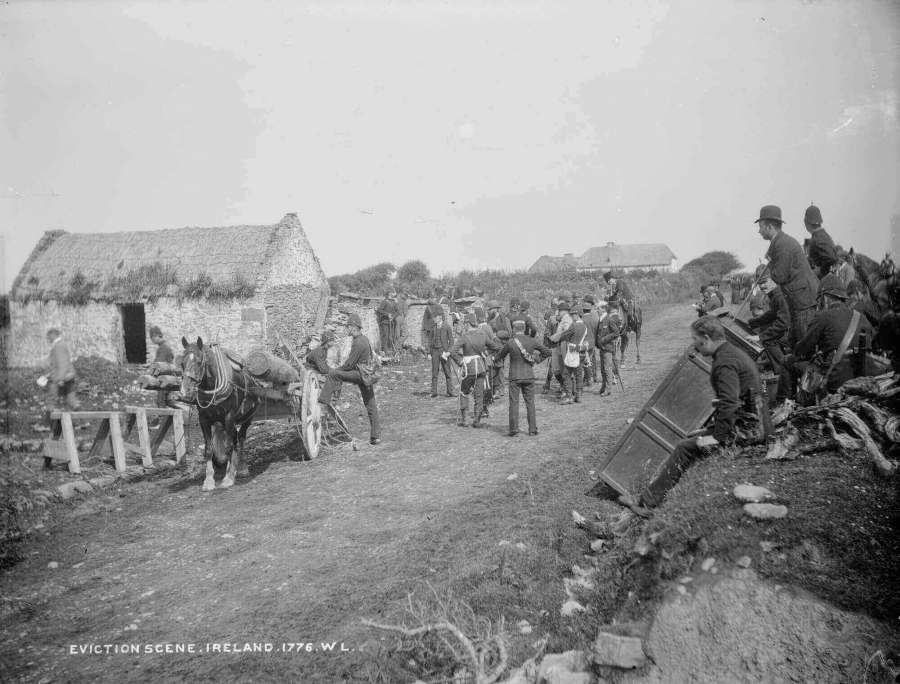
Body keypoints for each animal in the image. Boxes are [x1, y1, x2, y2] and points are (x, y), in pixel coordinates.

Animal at [178, 338, 258, 492]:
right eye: (181, 364)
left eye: (199, 362)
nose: (185, 390)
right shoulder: (204, 419)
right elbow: (209, 449)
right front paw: (209, 480)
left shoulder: (229, 416)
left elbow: (228, 447)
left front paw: (227, 478)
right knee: (234, 438)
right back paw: (234, 468)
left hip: (247, 416)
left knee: (241, 437)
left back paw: (242, 467)